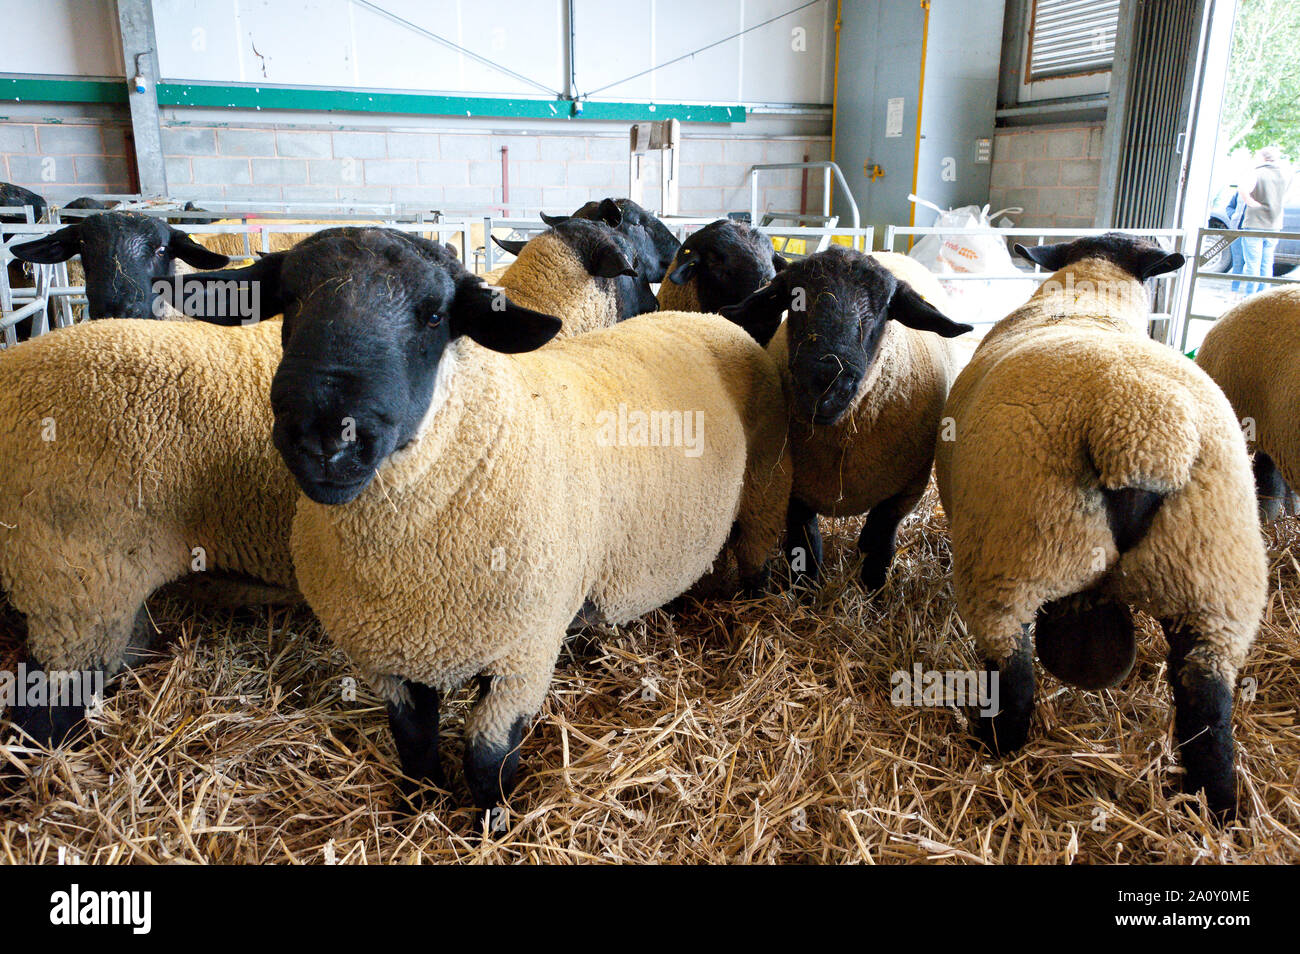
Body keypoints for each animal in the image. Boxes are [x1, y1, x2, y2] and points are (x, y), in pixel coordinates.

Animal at [721, 247, 972, 590]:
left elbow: (881, 541)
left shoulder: (904, 490)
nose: (827, 385)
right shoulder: (794, 488)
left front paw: (873, 588)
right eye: (793, 299)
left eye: (883, 310)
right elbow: (805, 545)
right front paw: (807, 590)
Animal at [932, 233, 1266, 819]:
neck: (1094, 296)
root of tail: (1142, 429)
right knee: (1209, 712)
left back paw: (992, 749)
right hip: (1212, 582)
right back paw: (1216, 809)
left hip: (1014, 555)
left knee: (1013, 679)